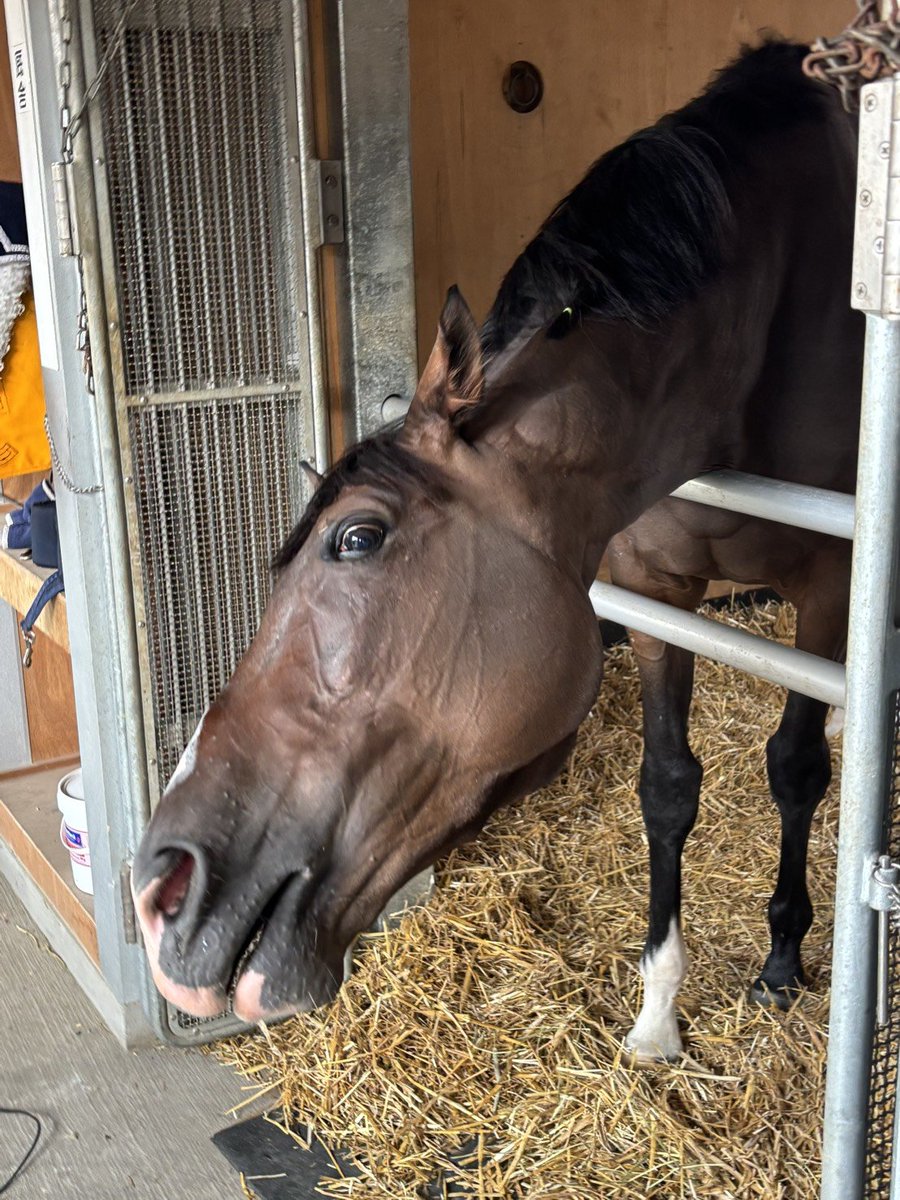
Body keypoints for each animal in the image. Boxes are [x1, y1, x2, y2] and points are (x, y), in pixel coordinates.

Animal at [132, 40, 862, 1061]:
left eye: (358, 536)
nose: (161, 890)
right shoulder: (656, 590)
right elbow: (669, 786)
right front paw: (656, 1015)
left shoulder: (830, 589)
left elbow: (793, 771)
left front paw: (784, 961)